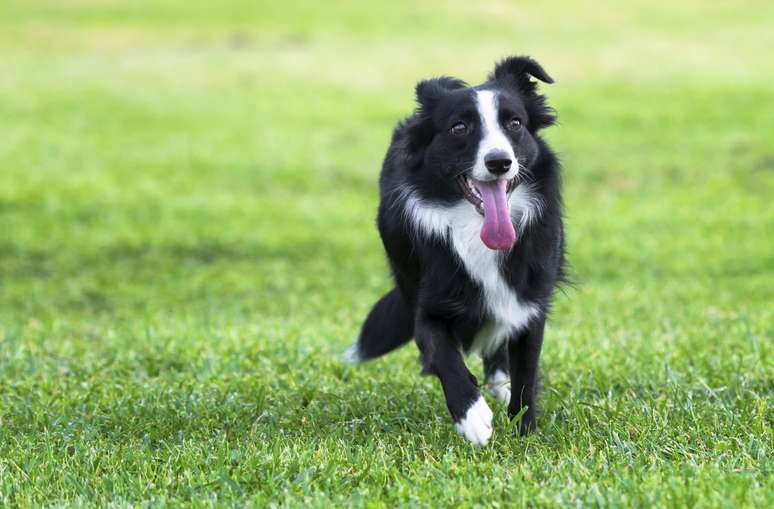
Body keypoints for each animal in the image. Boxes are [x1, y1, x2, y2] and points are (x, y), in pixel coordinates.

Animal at [346, 56, 564, 444]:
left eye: (515, 123)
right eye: (459, 128)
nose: (499, 162)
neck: (473, 228)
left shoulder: (529, 300)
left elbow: (526, 373)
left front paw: (524, 431)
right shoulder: (426, 304)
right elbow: (443, 354)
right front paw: (473, 416)